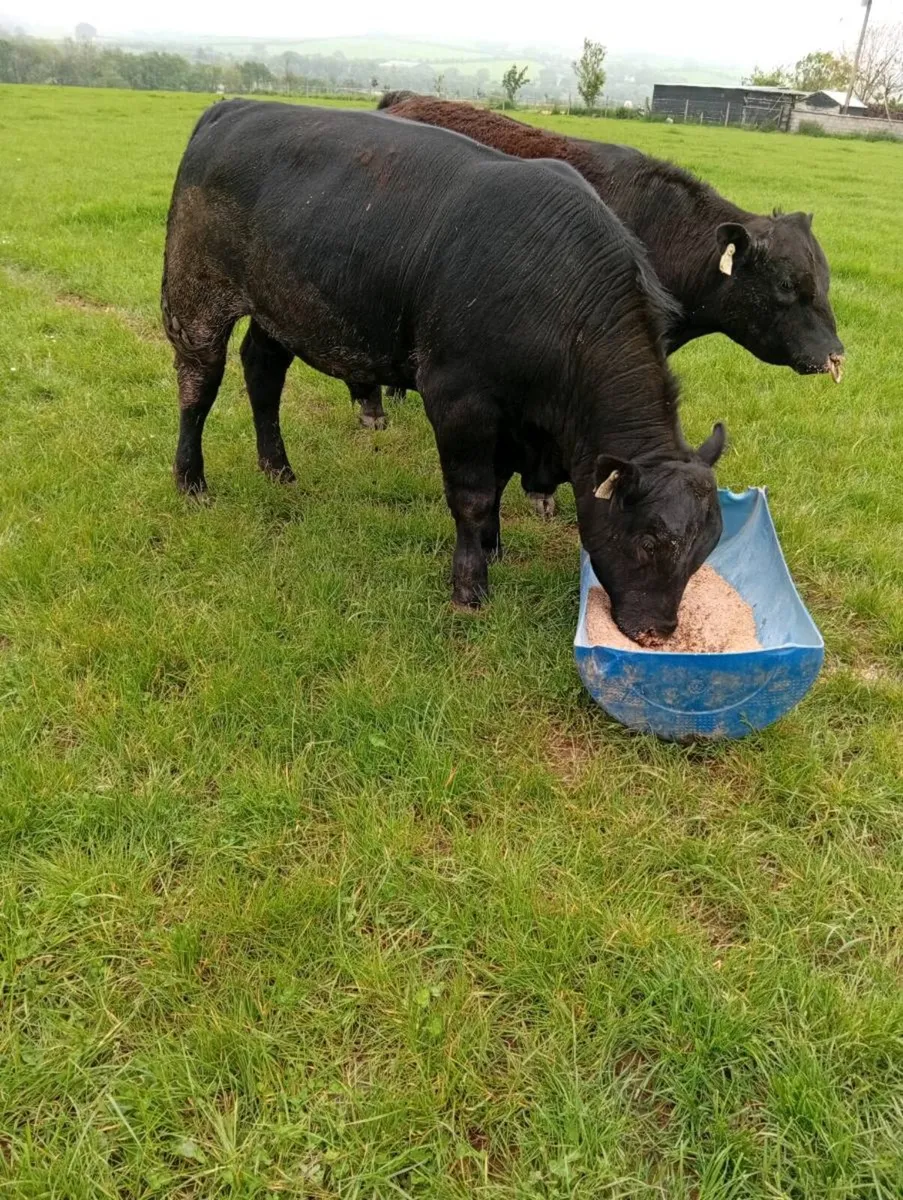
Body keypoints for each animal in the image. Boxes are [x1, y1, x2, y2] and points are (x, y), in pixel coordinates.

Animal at [162, 100, 727, 640]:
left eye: (705, 549)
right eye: (650, 540)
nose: (658, 630)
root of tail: (235, 108)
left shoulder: (508, 419)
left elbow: (496, 484)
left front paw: (493, 546)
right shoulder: (458, 398)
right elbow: (472, 495)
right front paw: (470, 585)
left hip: (278, 309)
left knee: (263, 373)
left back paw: (277, 468)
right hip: (195, 295)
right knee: (199, 385)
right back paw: (191, 480)